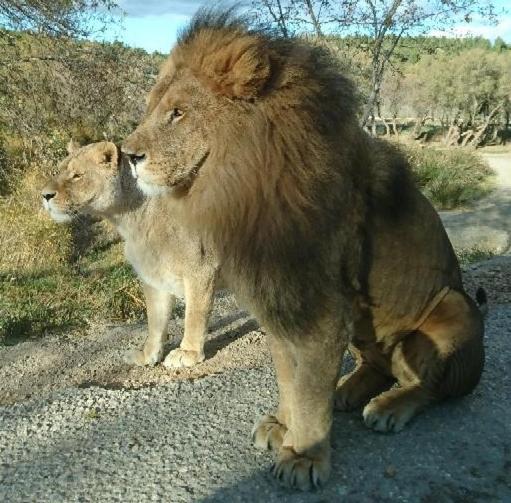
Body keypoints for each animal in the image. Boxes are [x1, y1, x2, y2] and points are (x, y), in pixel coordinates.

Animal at [41, 142, 220, 370]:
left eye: (77, 175)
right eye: (59, 171)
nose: (44, 195)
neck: (129, 221)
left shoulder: (201, 268)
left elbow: (195, 314)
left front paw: (188, 352)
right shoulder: (154, 276)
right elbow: (155, 320)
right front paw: (148, 355)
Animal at [122, 10, 486, 492]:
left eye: (178, 112)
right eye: (153, 108)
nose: (127, 156)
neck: (243, 185)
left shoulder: (320, 309)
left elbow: (309, 388)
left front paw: (305, 456)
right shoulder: (279, 303)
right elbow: (289, 379)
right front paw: (283, 426)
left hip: (455, 306)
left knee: (429, 387)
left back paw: (389, 407)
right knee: (380, 366)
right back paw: (349, 390)